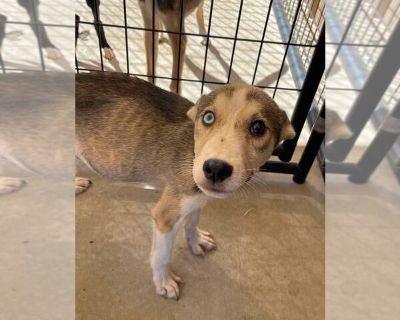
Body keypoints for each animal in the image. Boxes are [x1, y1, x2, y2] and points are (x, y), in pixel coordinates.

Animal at [76, 71, 294, 298]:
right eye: (208, 117)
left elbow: (192, 222)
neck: (193, 151)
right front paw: (163, 282)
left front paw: (196, 241)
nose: (215, 169)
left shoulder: (196, 198)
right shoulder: (166, 215)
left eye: (258, 127)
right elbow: (162, 255)